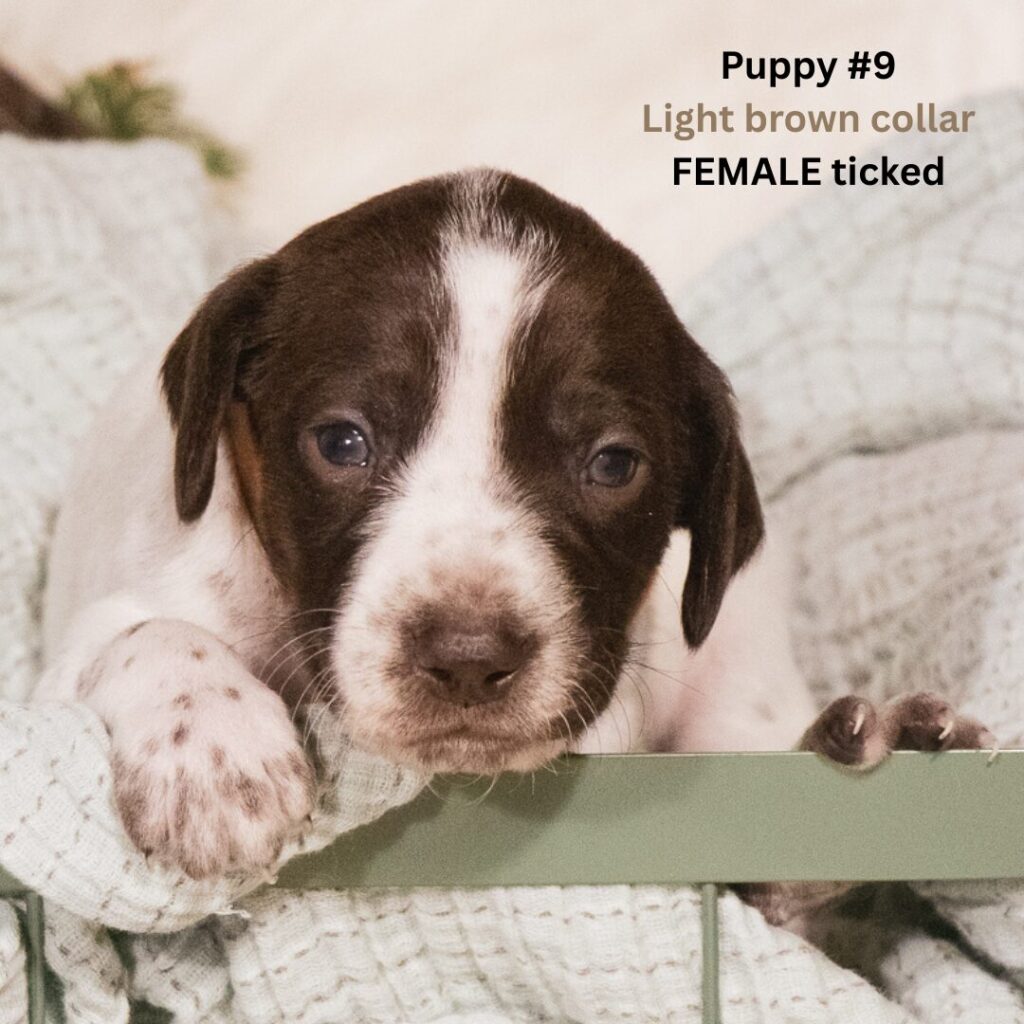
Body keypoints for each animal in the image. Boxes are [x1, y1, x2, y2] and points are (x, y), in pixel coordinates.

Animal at [36, 170, 992, 907]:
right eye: (342, 441)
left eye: (613, 463)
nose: (467, 659)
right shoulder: (59, 670)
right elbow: (146, 632)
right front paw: (211, 746)